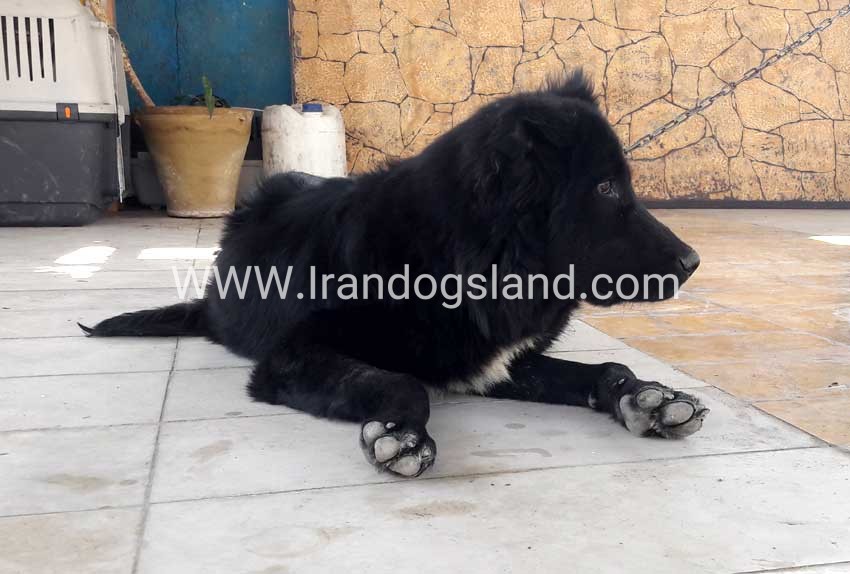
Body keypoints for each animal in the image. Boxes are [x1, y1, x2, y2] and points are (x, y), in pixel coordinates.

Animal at [82, 71, 708, 477]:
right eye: (606, 189)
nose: (693, 262)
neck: (460, 262)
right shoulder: (294, 353)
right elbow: (402, 383)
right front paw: (403, 434)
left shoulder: (492, 363)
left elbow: (608, 368)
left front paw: (645, 398)